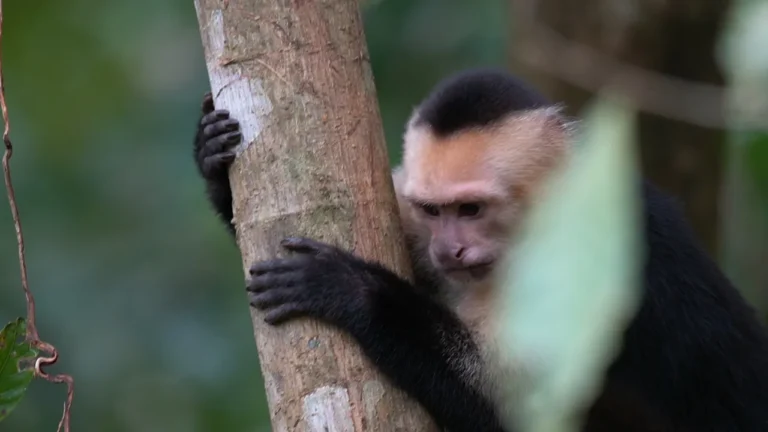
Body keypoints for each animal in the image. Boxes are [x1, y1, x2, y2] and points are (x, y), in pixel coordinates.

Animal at [193, 68, 768, 432]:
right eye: (432, 211)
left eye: (470, 210)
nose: (450, 250)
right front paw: (213, 161)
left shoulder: (601, 259)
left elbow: (521, 412)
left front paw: (354, 290)